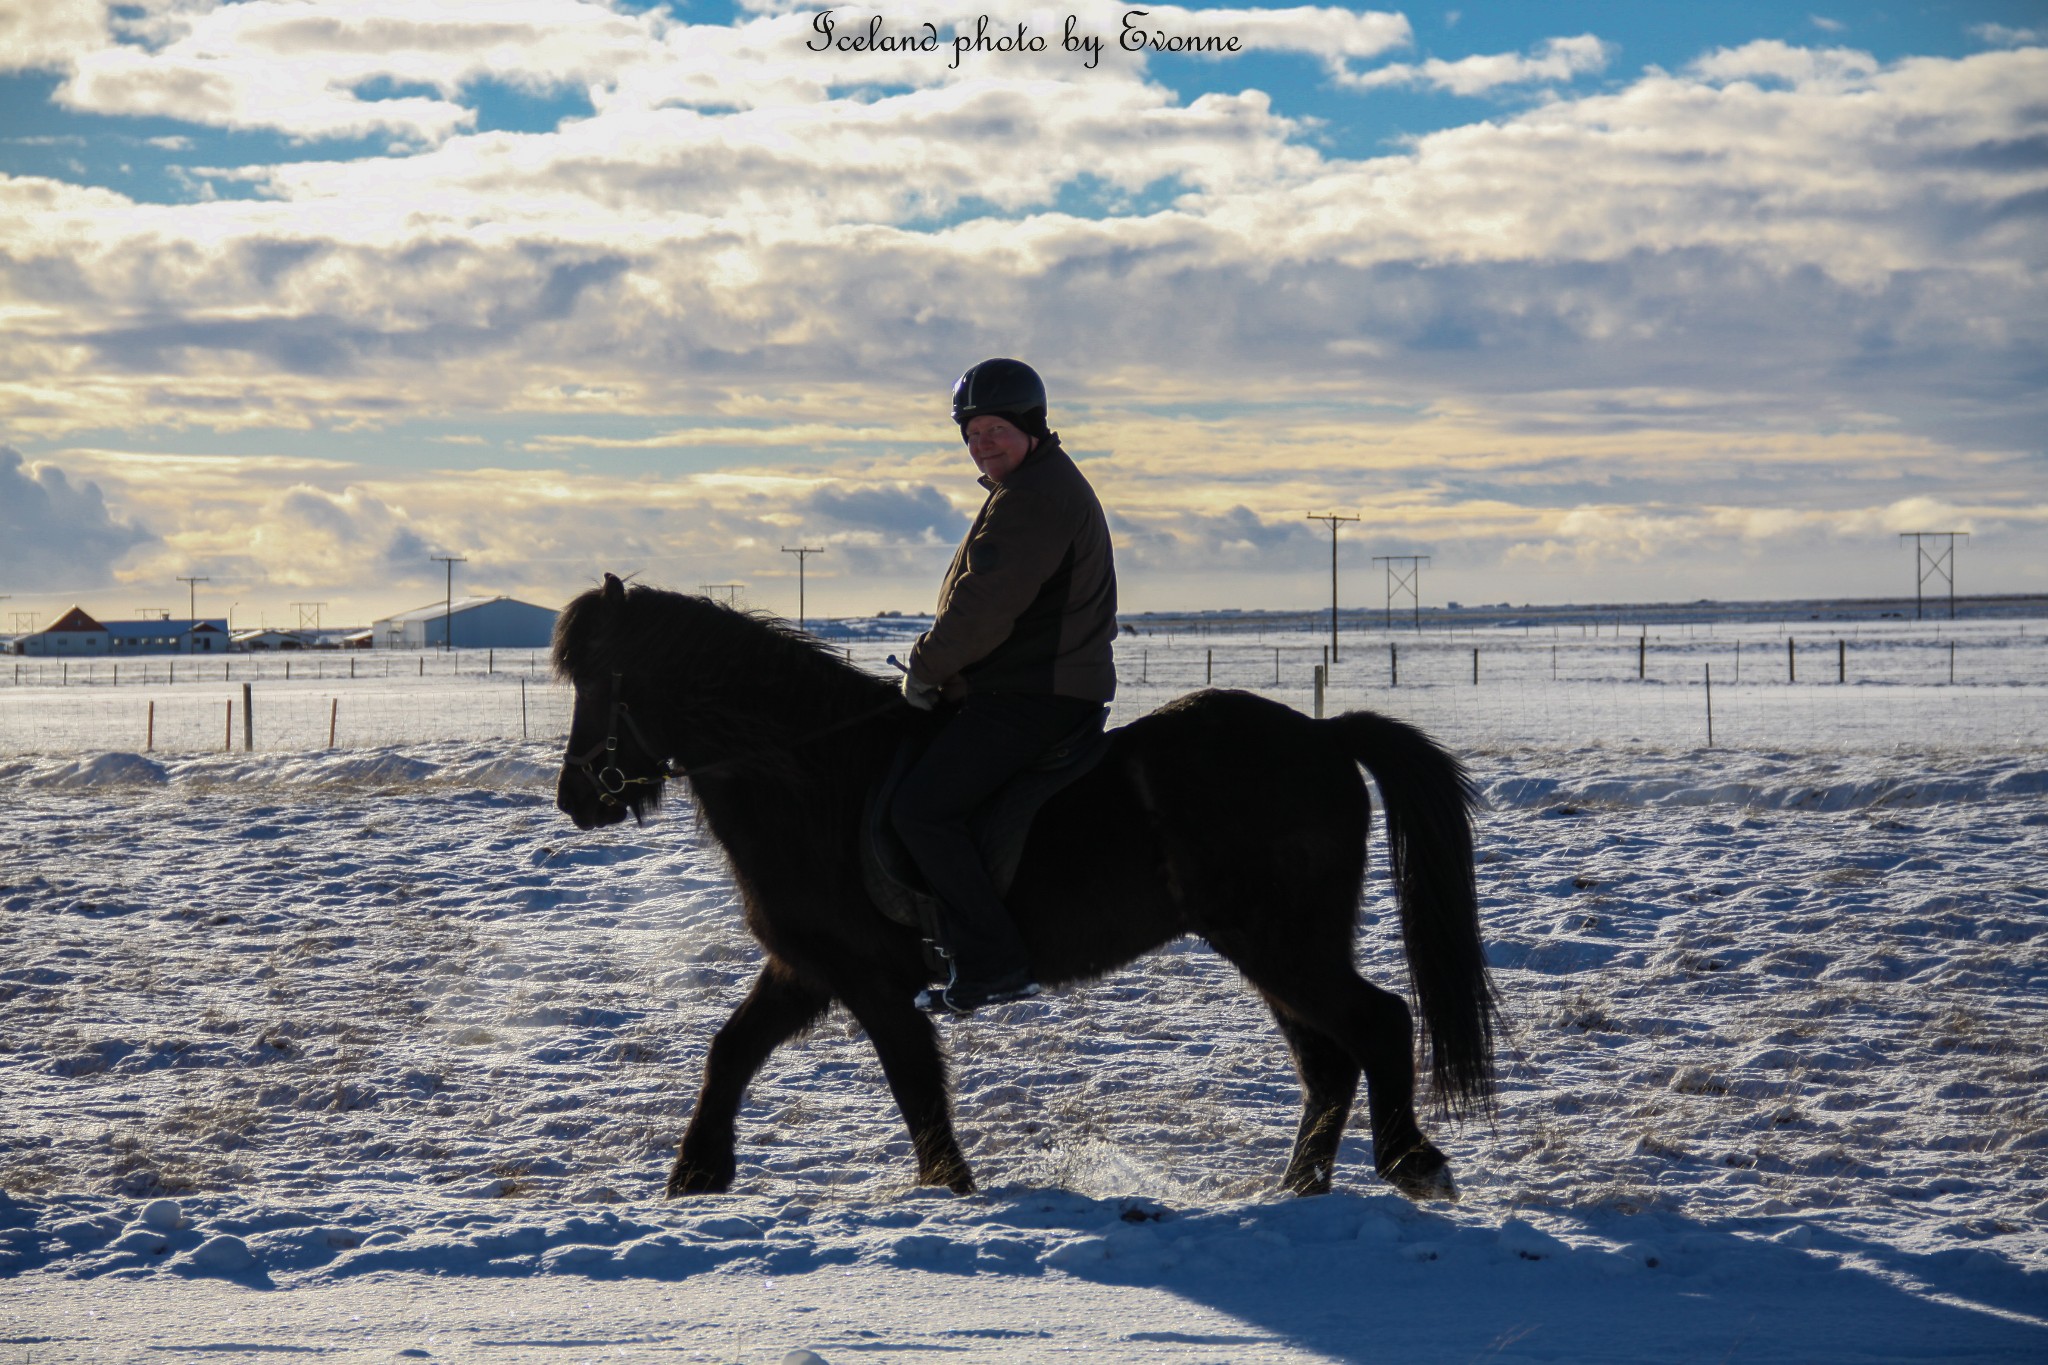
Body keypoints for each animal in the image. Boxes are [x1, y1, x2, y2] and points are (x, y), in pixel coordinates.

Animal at [552, 577, 1499, 1195]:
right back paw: (1298, 1191)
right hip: (1268, 946)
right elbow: (732, 1050)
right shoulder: (807, 969)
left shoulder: (870, 982)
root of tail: (1323, 735)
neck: (818, 776)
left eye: (597, 680)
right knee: (1328, 1062)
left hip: (1281, 942)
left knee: (1377, 1023)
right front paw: (696, 1174)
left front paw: (950, 1190)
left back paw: (1412, 1164)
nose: (575, 798)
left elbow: (915, 1086)